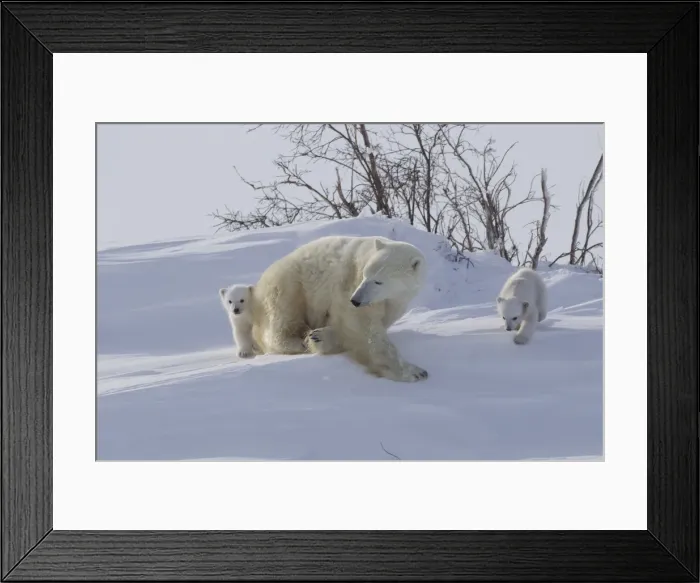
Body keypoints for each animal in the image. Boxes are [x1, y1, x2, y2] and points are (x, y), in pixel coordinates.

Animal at [250, 235, 429, 382]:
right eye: (365, 275)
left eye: (378, 281)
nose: (355, 300)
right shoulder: (352, 284)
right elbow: (363, 327)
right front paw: (415, 372)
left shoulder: (395, 301)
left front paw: (321, 337)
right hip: (290, 283)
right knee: (282, 317)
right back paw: (297, 341)